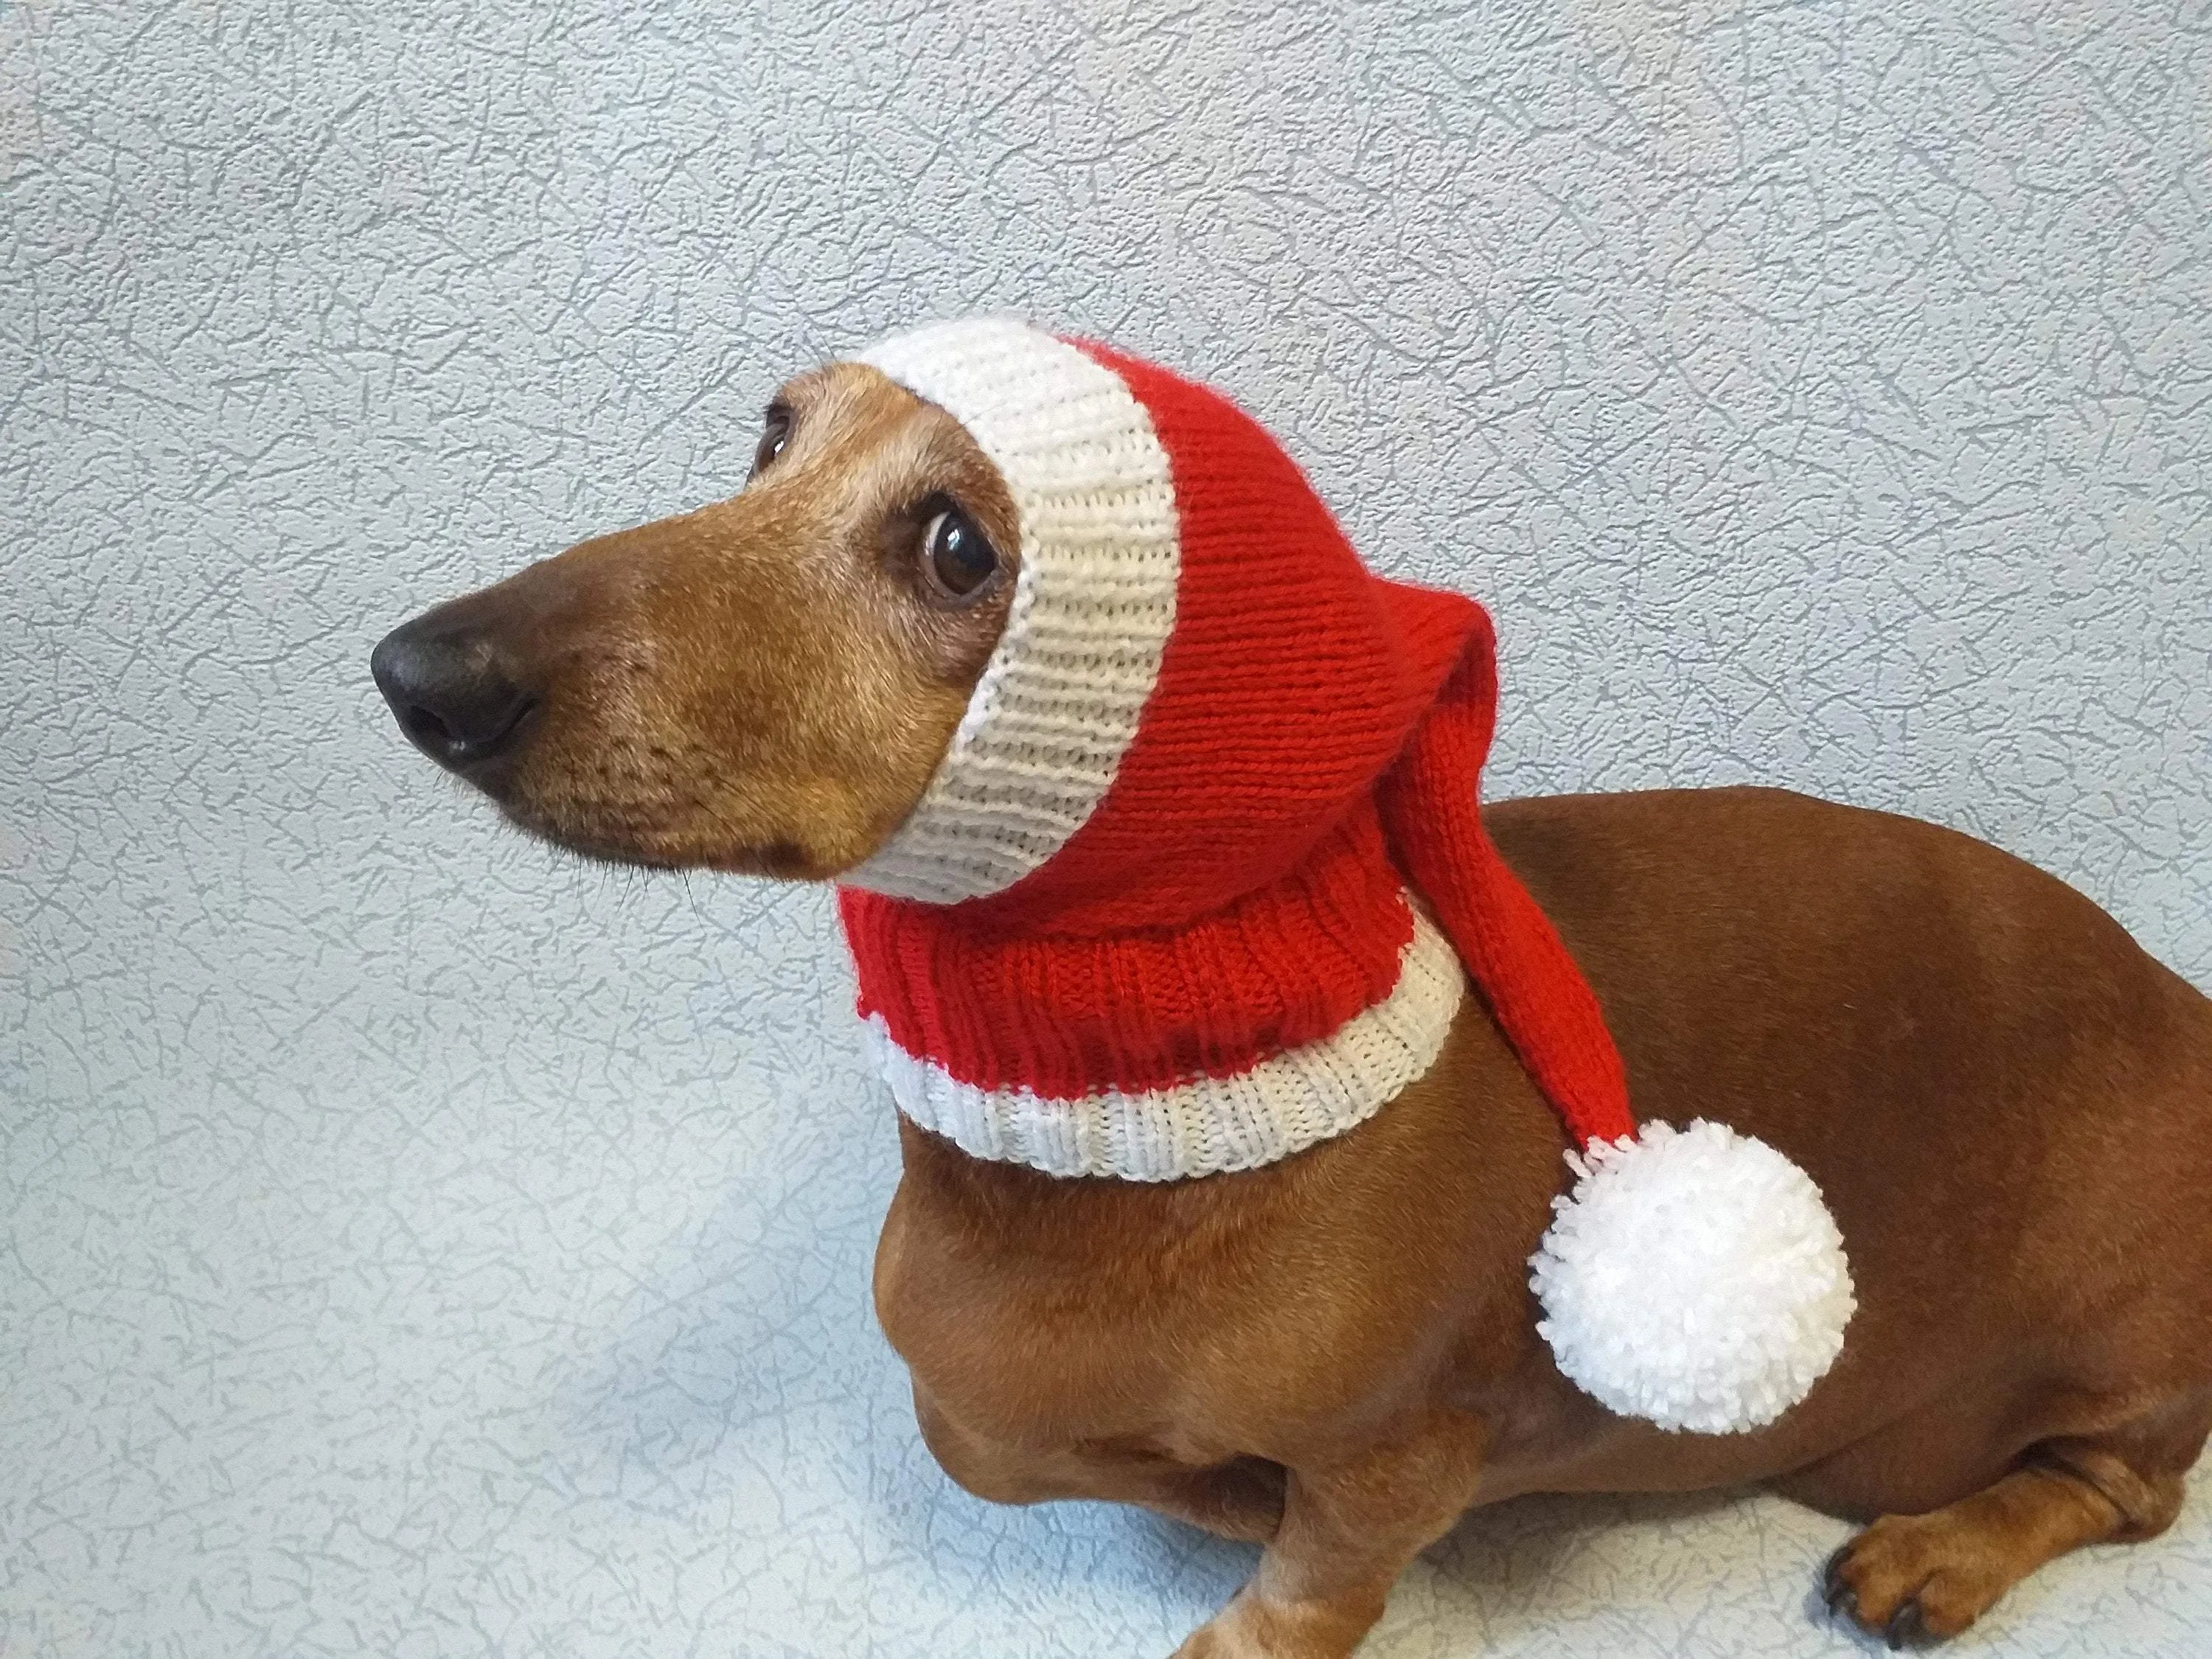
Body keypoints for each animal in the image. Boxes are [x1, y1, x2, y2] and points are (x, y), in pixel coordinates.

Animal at [372, 358, 2203, 1655]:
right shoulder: (972, 1402)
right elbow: (996, 1442)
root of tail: (2176, 996)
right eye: (770, 437)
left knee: (2123, 1493)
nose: (420, 672)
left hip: (2124, 1355)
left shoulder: (1401, 1458)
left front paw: (1247, 1582)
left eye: (961, 546)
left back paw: (1939, 1554)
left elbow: (1315, 1577)